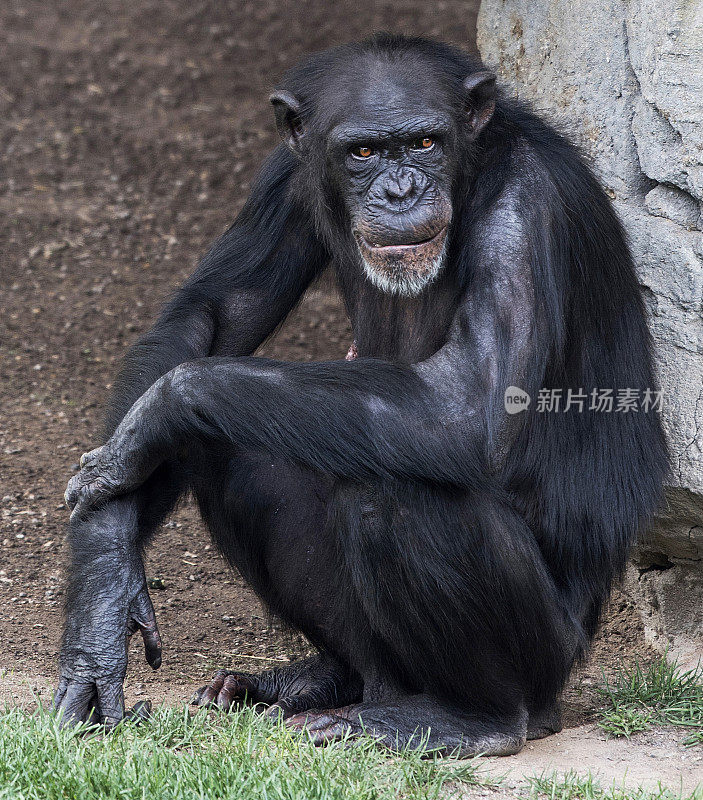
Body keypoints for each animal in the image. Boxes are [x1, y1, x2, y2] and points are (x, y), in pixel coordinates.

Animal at [56, 32, 664, 756]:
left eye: (425, 142)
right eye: (363, 152)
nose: (400, 191)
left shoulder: (526, 208)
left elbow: (468, 402)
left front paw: (160, 410)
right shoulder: (287, 173)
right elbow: (207, 316)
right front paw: (102, 590)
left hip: (550, 653)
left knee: (399, 491)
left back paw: (471, 719)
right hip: (379, 655)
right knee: (227, 446)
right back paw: (313, 682)